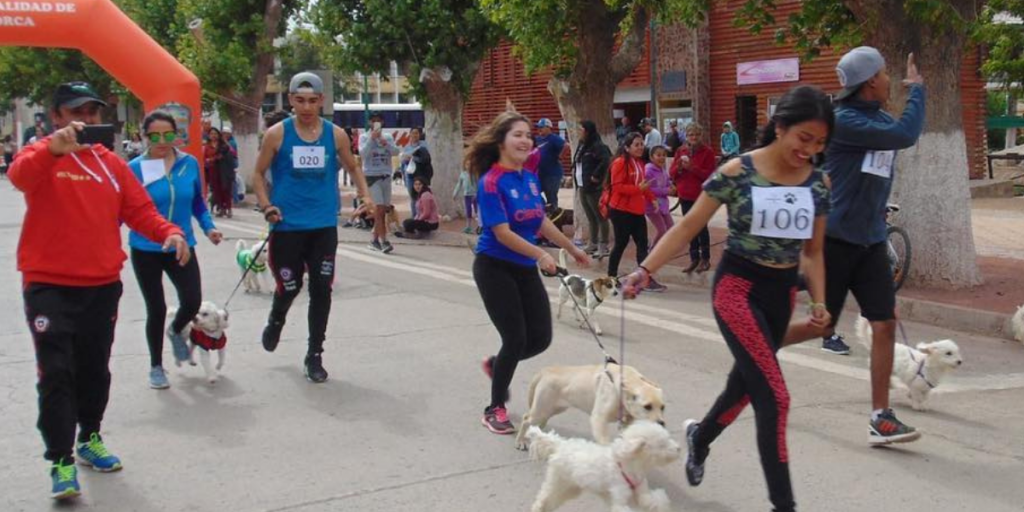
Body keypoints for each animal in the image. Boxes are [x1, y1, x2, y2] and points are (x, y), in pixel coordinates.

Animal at [516, 364, 667, 452]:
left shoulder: (628, 421)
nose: (661, 423)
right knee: (525, 419)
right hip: (541, 410)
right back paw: (520, 441)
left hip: (552, 409)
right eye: (647, 406)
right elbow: (605, 442)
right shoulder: (599, 419)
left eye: (663, 407)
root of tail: (546, 371)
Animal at [528, 419, 679, 512]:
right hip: (558, 481)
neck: (627, 466)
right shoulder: (619, 499)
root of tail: (561, 444)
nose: (679, 448)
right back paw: (538, 507)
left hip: (571, 488)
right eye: (662, 444)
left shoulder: (642, 492)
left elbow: (653, 500)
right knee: (544, 496)